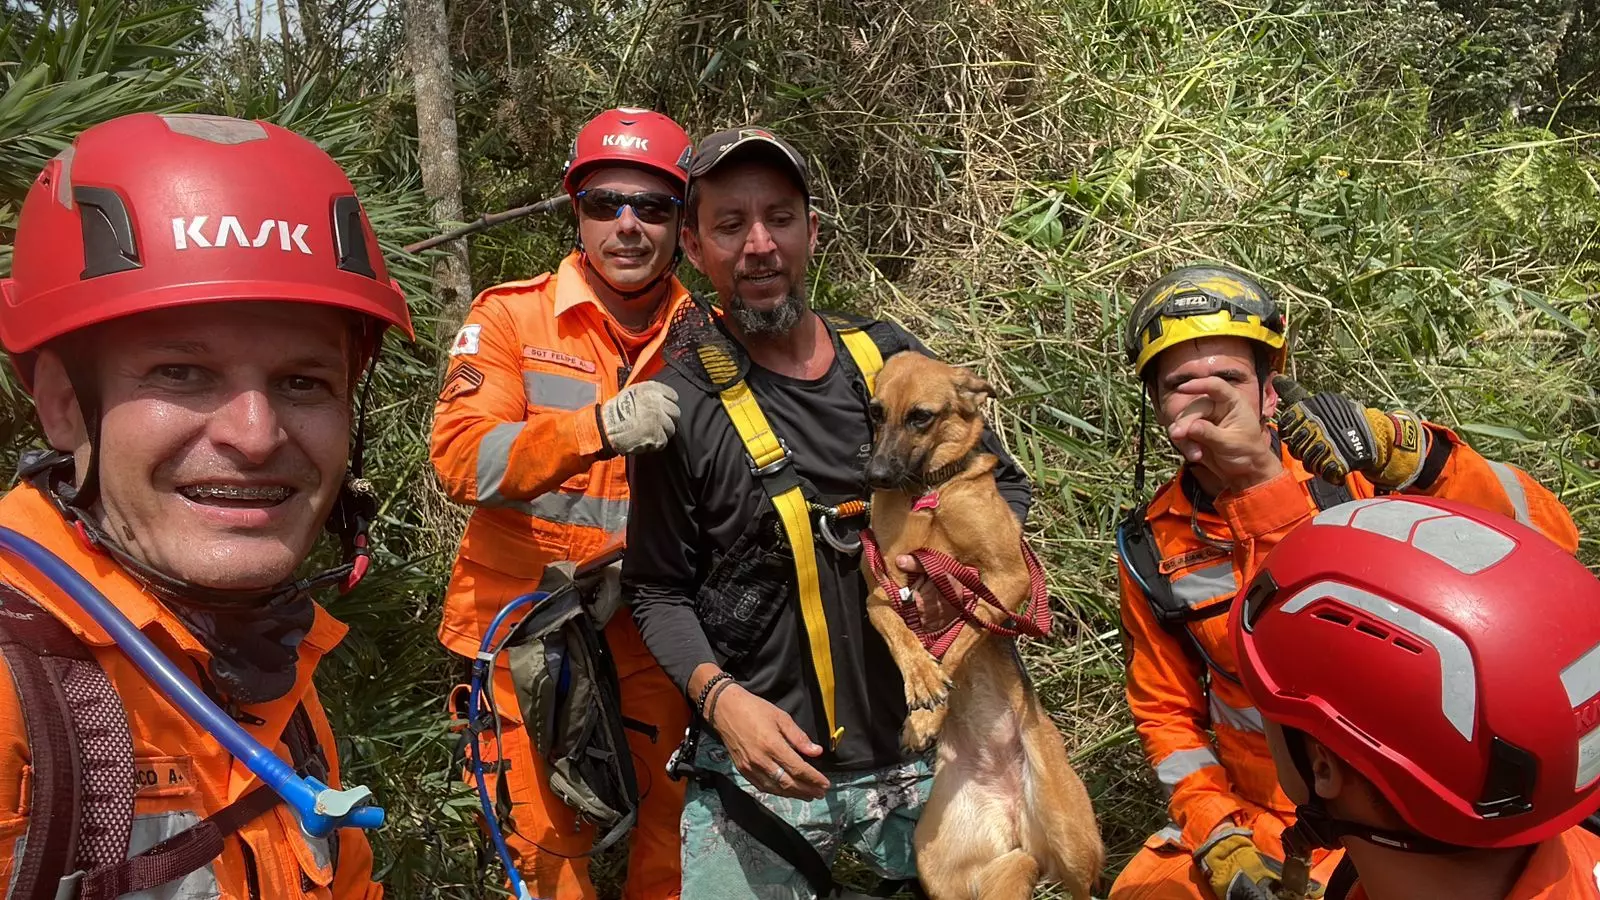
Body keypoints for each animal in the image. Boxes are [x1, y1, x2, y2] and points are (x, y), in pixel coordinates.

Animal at [857, 350, 1107, 896]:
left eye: (921, 416)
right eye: (876, 411)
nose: (876, 476)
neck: (929, 495)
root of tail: (1013, 819)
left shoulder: (1008, 581)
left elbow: (961, 636)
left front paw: (928, 710)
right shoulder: (880, 592)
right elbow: (903, 635)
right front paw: (922, 684)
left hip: (1072, 838)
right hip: (943, 866)